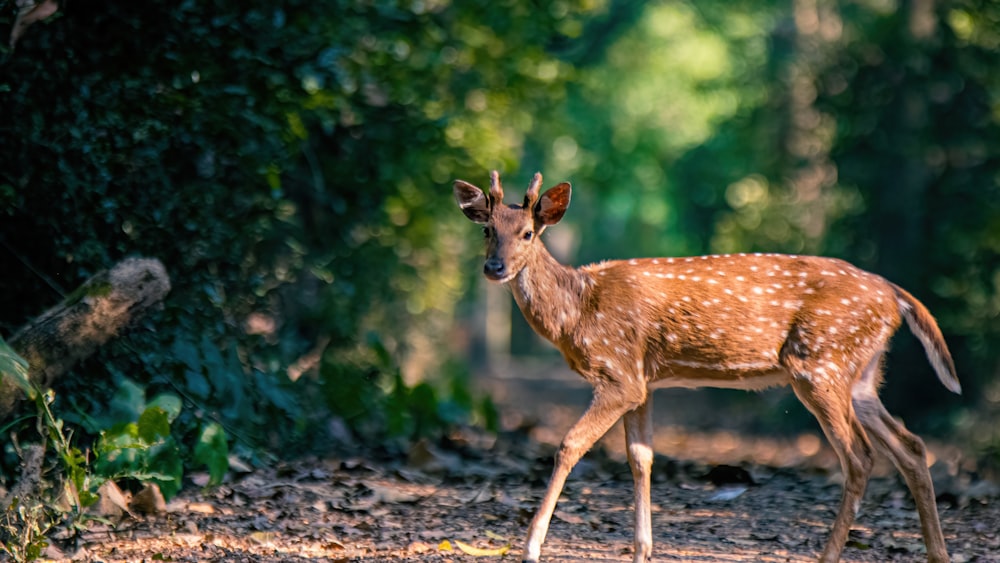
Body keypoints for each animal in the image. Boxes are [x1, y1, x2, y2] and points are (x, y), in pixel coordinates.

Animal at [454, 172, 960, 563]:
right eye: (487, 230)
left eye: (528, 233)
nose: (495, 268)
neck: (577, 312)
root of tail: (894, 293)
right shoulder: (643, 380)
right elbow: (641, 458)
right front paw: (642, 551)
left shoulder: (618, 374)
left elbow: (569, 445)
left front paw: (530, 548)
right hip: (861, 376)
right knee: (911, 446)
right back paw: (939, 553)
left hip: (820, 364)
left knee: (859, 456)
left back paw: (828, 555)